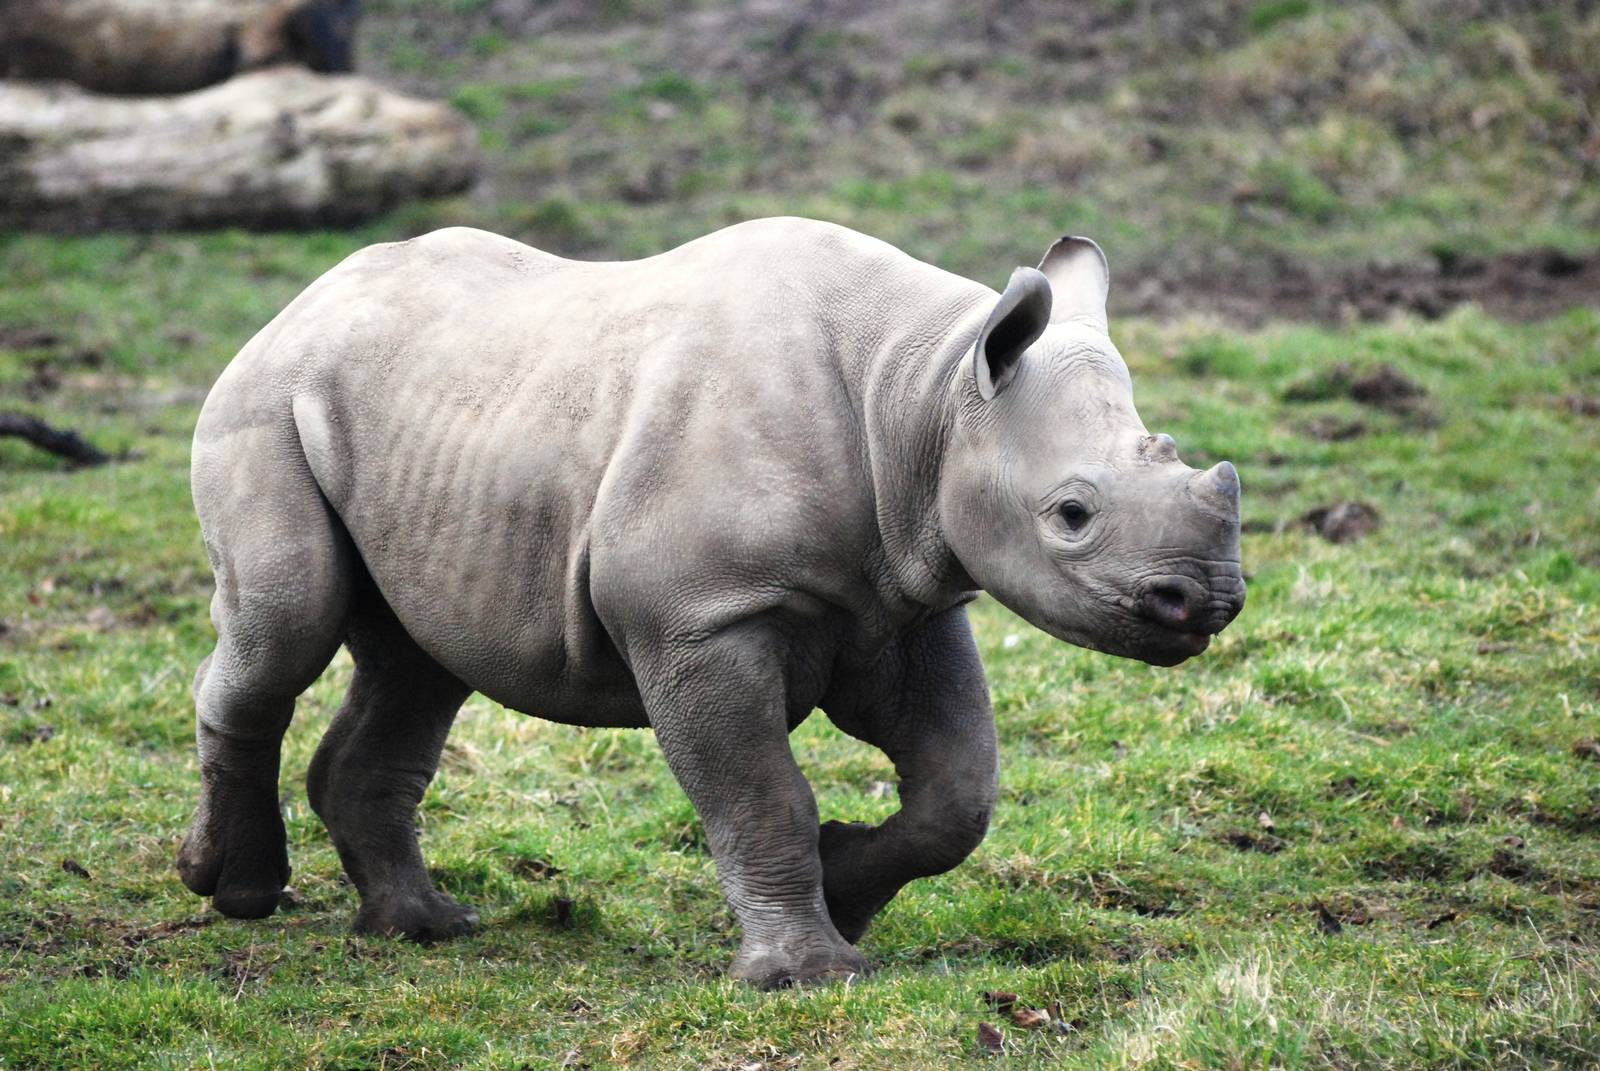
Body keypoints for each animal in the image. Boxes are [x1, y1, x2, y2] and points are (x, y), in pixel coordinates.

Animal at [178, 218, 1244, 989]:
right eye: (1072, 514)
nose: (1210, 602)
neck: (925, 393)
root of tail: (299, 301)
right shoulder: (699, 616)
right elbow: (759, 790)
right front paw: (809, 975)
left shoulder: (903, 599)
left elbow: (959, 791)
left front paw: (845, 890)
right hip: (264, 401)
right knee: (289, 625)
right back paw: (236, 889)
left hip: (427, 434)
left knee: (418, 662)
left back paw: (424, 928)